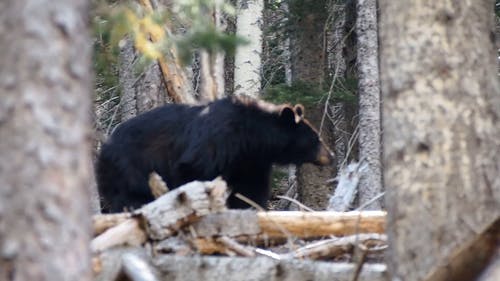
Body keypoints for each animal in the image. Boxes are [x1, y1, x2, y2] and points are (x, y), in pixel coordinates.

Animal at [97, 95, 332, 211]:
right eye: (317, 138)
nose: (331, 156)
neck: (251, 136)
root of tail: (104, 145)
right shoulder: (217, 142)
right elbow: (192, 171)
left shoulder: (251, 160)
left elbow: (250, 190)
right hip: (129, 168)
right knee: (130, 197)